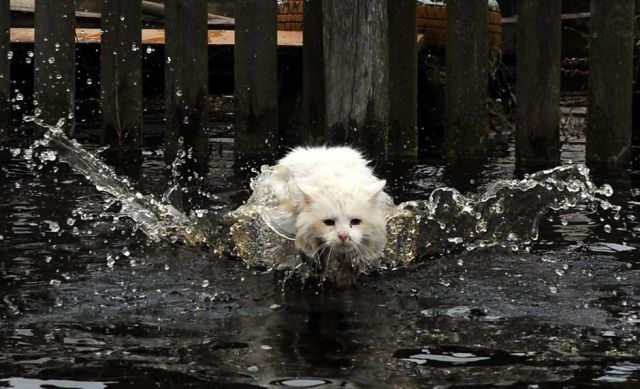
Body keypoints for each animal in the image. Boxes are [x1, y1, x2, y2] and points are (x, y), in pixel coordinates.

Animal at [264, 146, 392, 284]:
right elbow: (306, 253)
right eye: (329, 222)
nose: (343, 235)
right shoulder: (292, 229)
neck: (339, 181)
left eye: (355, 221)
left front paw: (345, 276)